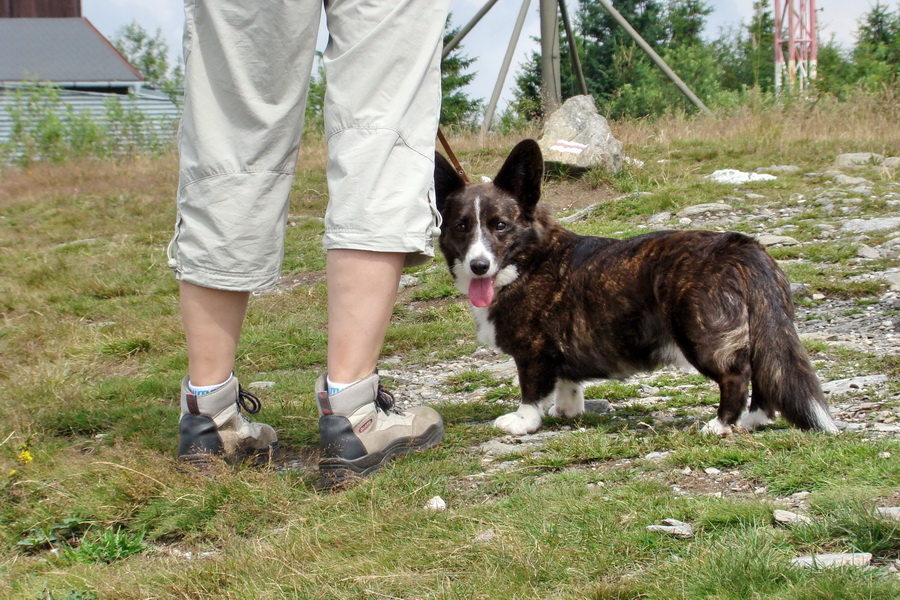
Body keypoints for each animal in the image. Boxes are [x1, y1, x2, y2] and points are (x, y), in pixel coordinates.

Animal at [432, 140, 840, 436]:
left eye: (500, 225)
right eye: (462, 226)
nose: (479, 265)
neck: (528, 261)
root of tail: (740, 246)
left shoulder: (533, 353)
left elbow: (531, 391)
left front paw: (522, 421)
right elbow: (568, 382)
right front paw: (567, 410)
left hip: (701, 335)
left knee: (736, 376)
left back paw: (720, 424)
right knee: (763, 374)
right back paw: (753, 421)